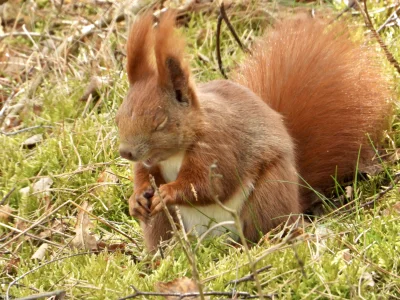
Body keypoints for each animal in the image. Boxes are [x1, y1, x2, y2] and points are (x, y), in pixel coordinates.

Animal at [115, 11, 390, 250]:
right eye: (118, 116)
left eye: (160, 122)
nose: (126, 152)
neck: (175, 154)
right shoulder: (150, 164)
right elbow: (144, 176)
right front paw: (136, 198)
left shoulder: (219, 147)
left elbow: (210, 185)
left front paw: (167, 193)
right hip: (164, 223)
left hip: (268, 195)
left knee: (260, 228)